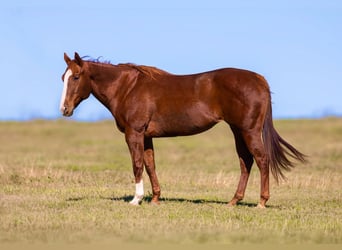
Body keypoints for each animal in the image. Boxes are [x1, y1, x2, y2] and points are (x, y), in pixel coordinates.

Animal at [60, 52, 306, 207]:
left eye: (76, 77)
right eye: (63, 77)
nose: (64, 109)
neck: (127, 88)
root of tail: (259, 79)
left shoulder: (134, 133)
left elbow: (137, 164)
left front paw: (136, 199)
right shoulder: (146, 137)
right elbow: (150, 165)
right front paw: (155, 198)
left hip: (249, 130)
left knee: (261, 159)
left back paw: (262, 201)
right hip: (238, 130)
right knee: (246, 161)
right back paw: (234, 200)